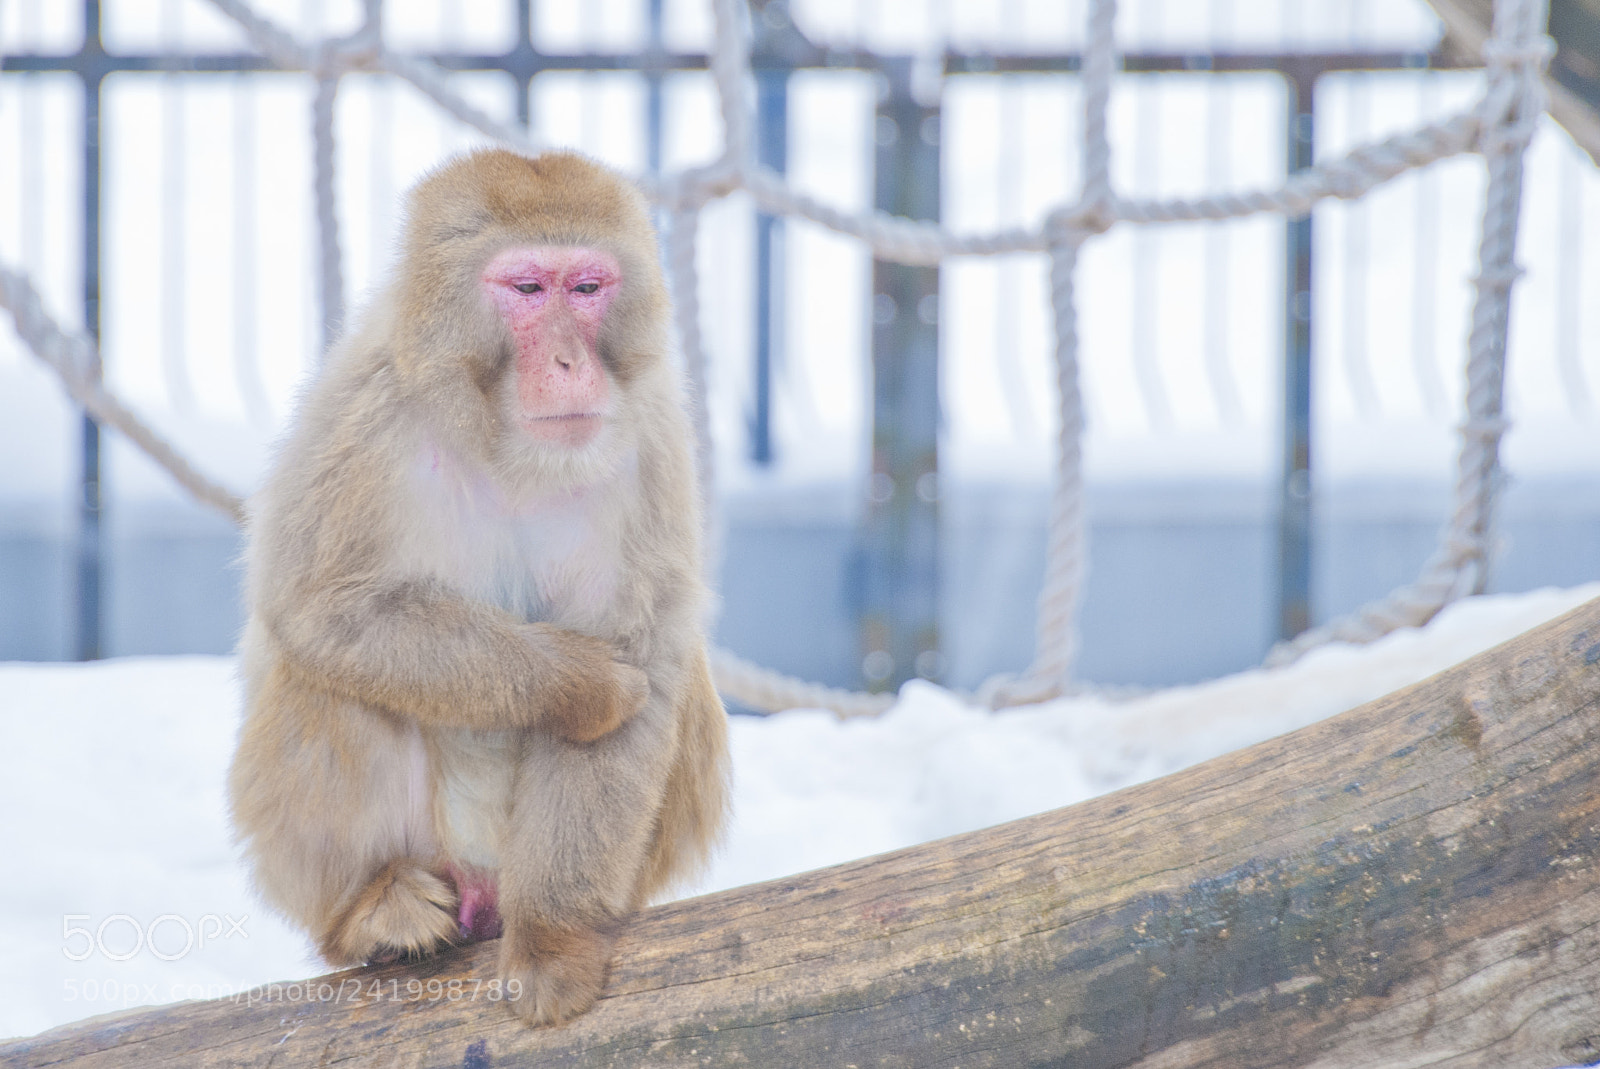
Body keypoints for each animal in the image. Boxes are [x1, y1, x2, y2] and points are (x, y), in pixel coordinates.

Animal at [227, 148, 729, 1028]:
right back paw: (370, 909)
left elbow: (651, 659)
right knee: (329, 676)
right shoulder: (363, 406)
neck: (507, 447)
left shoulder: (655, 439)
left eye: (587, 288)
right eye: (527, 288)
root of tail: (483, 889)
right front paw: (590, 683)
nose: (569, 363)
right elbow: (323, 608)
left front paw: (554, 936)